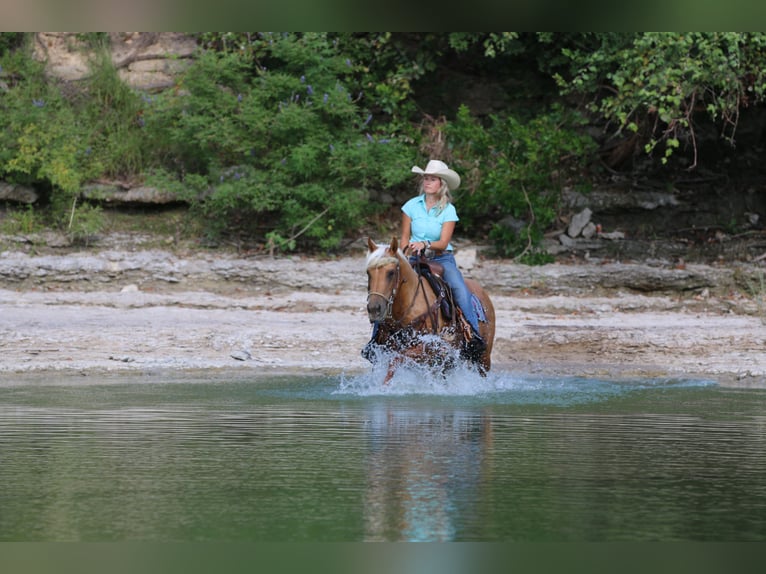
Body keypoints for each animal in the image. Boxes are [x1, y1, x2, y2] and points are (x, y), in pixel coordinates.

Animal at [364, 236, 495, 383]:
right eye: (368, 273)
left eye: (391, 272)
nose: (374, 308)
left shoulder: (429, 348)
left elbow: (397, 359)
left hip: (484, 358)